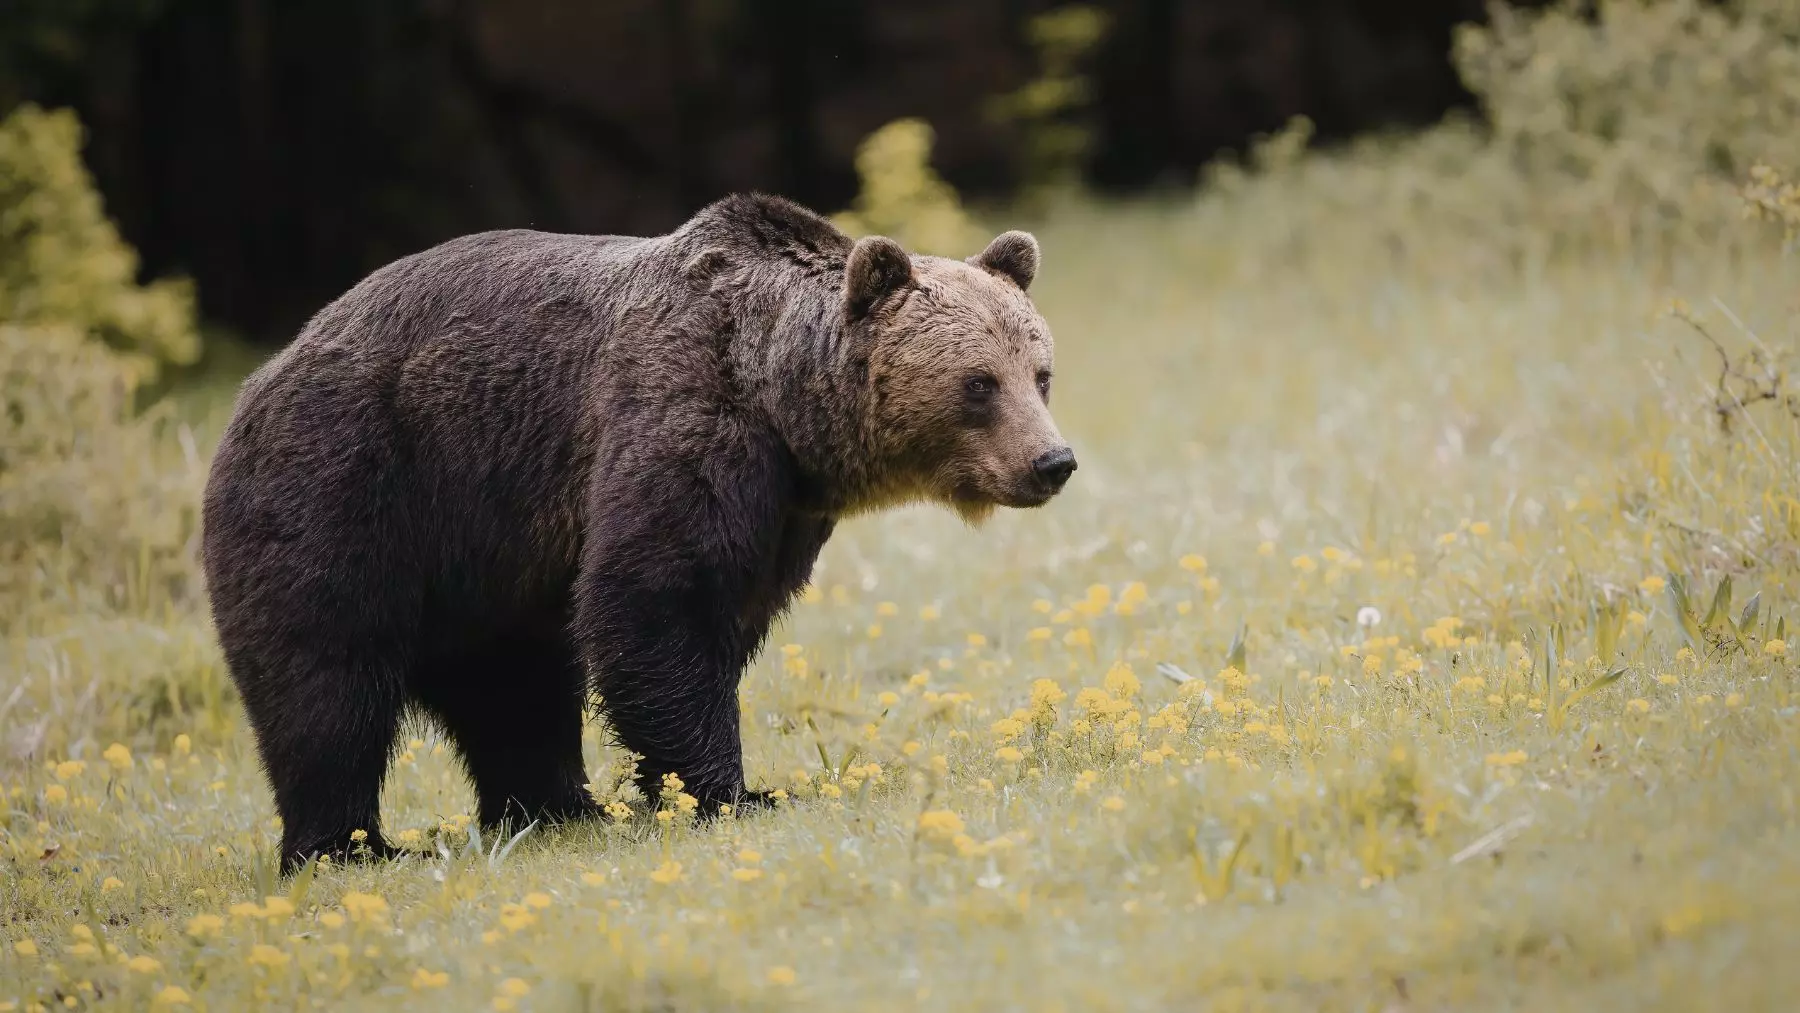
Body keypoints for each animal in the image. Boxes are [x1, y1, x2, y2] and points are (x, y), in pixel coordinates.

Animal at [201, 193, 1076, 869]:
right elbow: (658, 598)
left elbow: (711, 617)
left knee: (511, 684)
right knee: (326, 680)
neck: (782, 403)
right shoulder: (682, 416)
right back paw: (350, 846)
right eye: (978, 383)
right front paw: (734, 791)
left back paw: (554, 807)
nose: (1052, 460)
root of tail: (258, 381)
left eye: (1039, 373)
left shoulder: (785, 510)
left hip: (485, 561)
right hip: (351, 487)